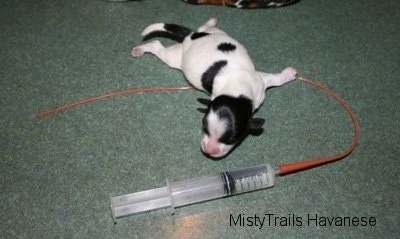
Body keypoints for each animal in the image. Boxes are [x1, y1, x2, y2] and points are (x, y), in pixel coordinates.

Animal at [131, 17, 296, 158]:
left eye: (233, 138)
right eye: (204, 126)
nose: (210, 150)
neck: (237, 90)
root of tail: (192, 36)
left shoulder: (260, 83)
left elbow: (274, 79)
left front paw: (288, 74)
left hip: (217, 33)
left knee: (204, 26)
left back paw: (211, 21)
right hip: (175, 57)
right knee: (156, 45)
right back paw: (140, 49)